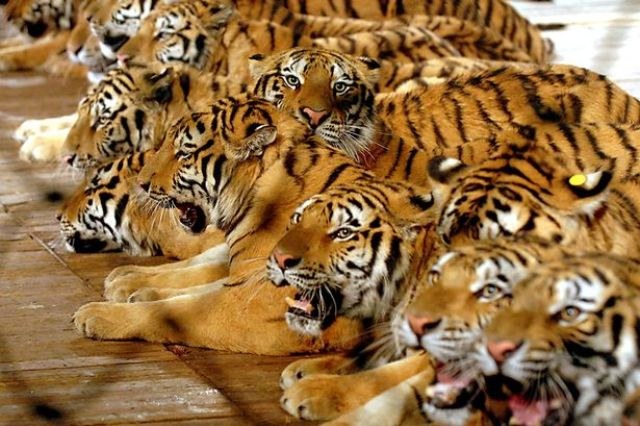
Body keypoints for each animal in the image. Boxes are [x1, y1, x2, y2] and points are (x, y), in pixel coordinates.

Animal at [72, 95, 434, 355]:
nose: (142, 184)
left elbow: (179, 310)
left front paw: (98, 314)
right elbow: (192, 281)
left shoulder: (260, 308)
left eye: (184, 153)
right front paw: (133, 285)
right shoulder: (243, 271)